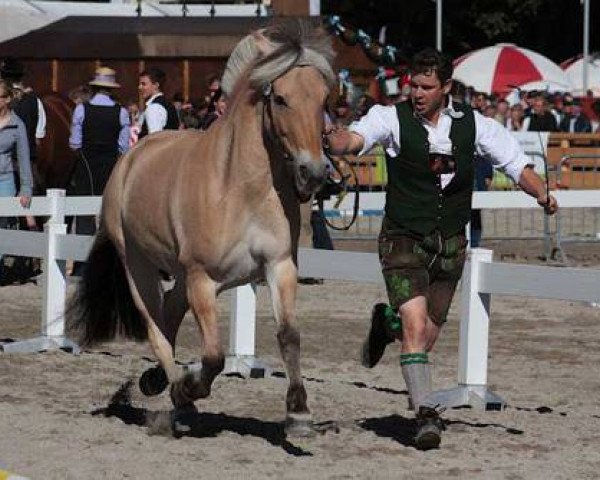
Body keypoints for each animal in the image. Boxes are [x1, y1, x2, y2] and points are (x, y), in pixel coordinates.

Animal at [69, 20, 338, 436]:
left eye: (324, 100)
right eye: (279, 98)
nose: (315, 172)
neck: (240, 187)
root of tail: (132, 156)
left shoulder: (279, 267)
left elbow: (289, 336)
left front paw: (299, 414)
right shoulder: (203, 279)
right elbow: (212, 356)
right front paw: (187, 389)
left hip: (180, 276)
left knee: (169, 317)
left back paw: (156, 383)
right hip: (140, 268)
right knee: (157, 333)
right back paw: (176, 398)